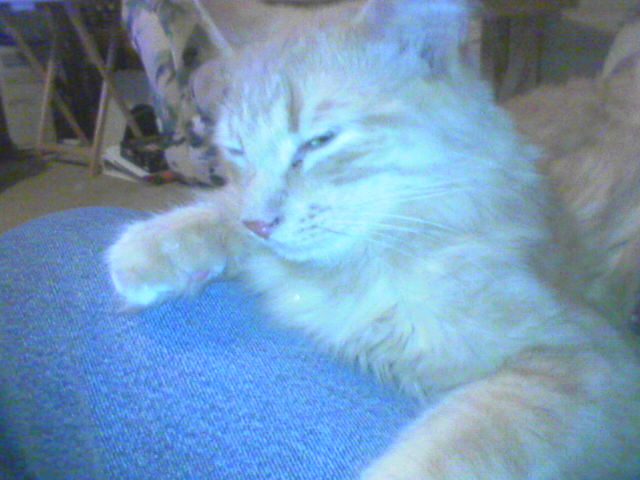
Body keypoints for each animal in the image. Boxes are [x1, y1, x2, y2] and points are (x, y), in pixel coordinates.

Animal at [107, 0, 640, 478]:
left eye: (317, 142)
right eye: (237, 149)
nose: (261, 223)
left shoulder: (580, 361)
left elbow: (455, 446)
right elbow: (225, 210)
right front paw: (146, 248)